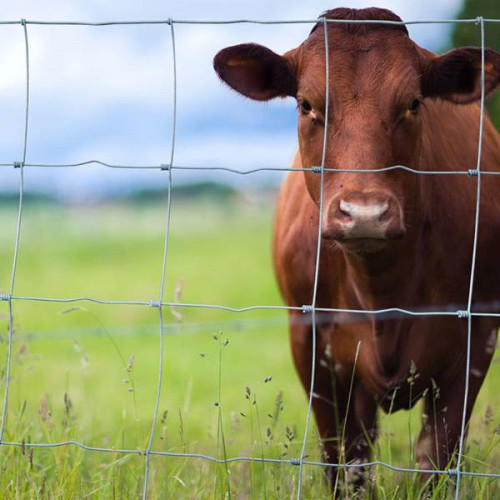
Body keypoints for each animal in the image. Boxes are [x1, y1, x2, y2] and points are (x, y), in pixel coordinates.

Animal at [214, 5, 500, 490]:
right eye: (306, 104)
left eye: (414, 103)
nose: (364, 213)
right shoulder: (309, 342)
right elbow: (344, 462)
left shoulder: (476, 336)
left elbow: (435, 460)